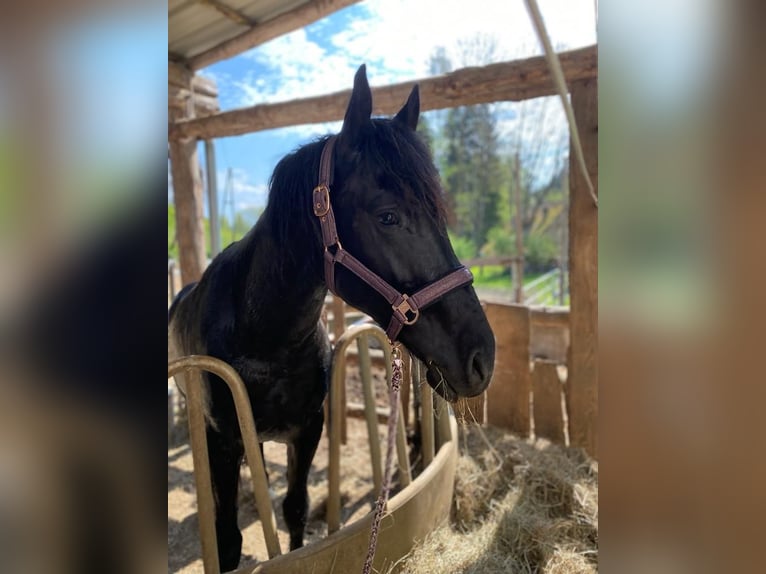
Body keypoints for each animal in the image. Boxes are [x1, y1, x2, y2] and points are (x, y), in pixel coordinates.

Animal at [170, 65, 498, 572]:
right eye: (388, 216)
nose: (482, 357)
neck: (263, 338)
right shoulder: (221, 442)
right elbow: (227, 540)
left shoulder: (308, 430)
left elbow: (295, 508)